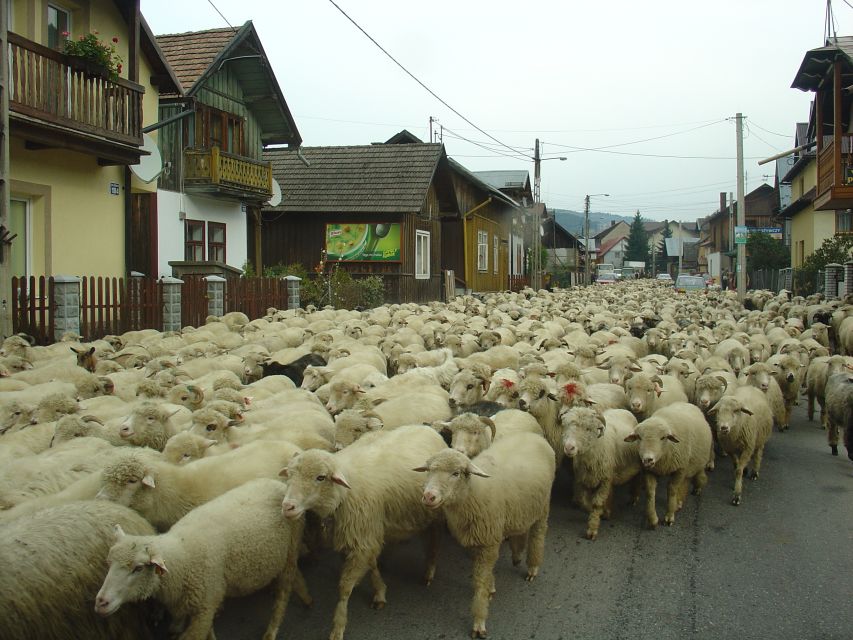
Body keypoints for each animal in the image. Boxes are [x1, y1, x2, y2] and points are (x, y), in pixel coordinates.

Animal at [96, 478, 310, 640]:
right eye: (109, 563)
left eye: (138, 568)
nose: (101, 602)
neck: (182, 558)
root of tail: (277, 482)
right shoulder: (198, 603)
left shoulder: (206, 604)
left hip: (291, 549)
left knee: (284, 590)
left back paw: (273, 628)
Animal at [280, 424, 446, 640]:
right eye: (290, 475)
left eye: (320, 477)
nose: (287, 507)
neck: (342, 495)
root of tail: (427, 427)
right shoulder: (364, 535)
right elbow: (372, 564)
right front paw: (380, 591)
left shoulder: (362, 538)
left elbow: (344, 587)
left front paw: (338, 626)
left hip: (434, 511)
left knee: (434, 541)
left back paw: (429, 571)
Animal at [416, 432, 556, 636]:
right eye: (429, 471)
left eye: (456, 473)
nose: (428, 496)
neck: (472, 493)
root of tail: (534, 435)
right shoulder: (476, 540)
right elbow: (484, 575)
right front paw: (491, 587)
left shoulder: (489, 542)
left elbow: (480, 581)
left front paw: (479, 620)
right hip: (522, 506)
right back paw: (516, 554)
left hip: (543, 505)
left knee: (538, 533)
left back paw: (533, 567)